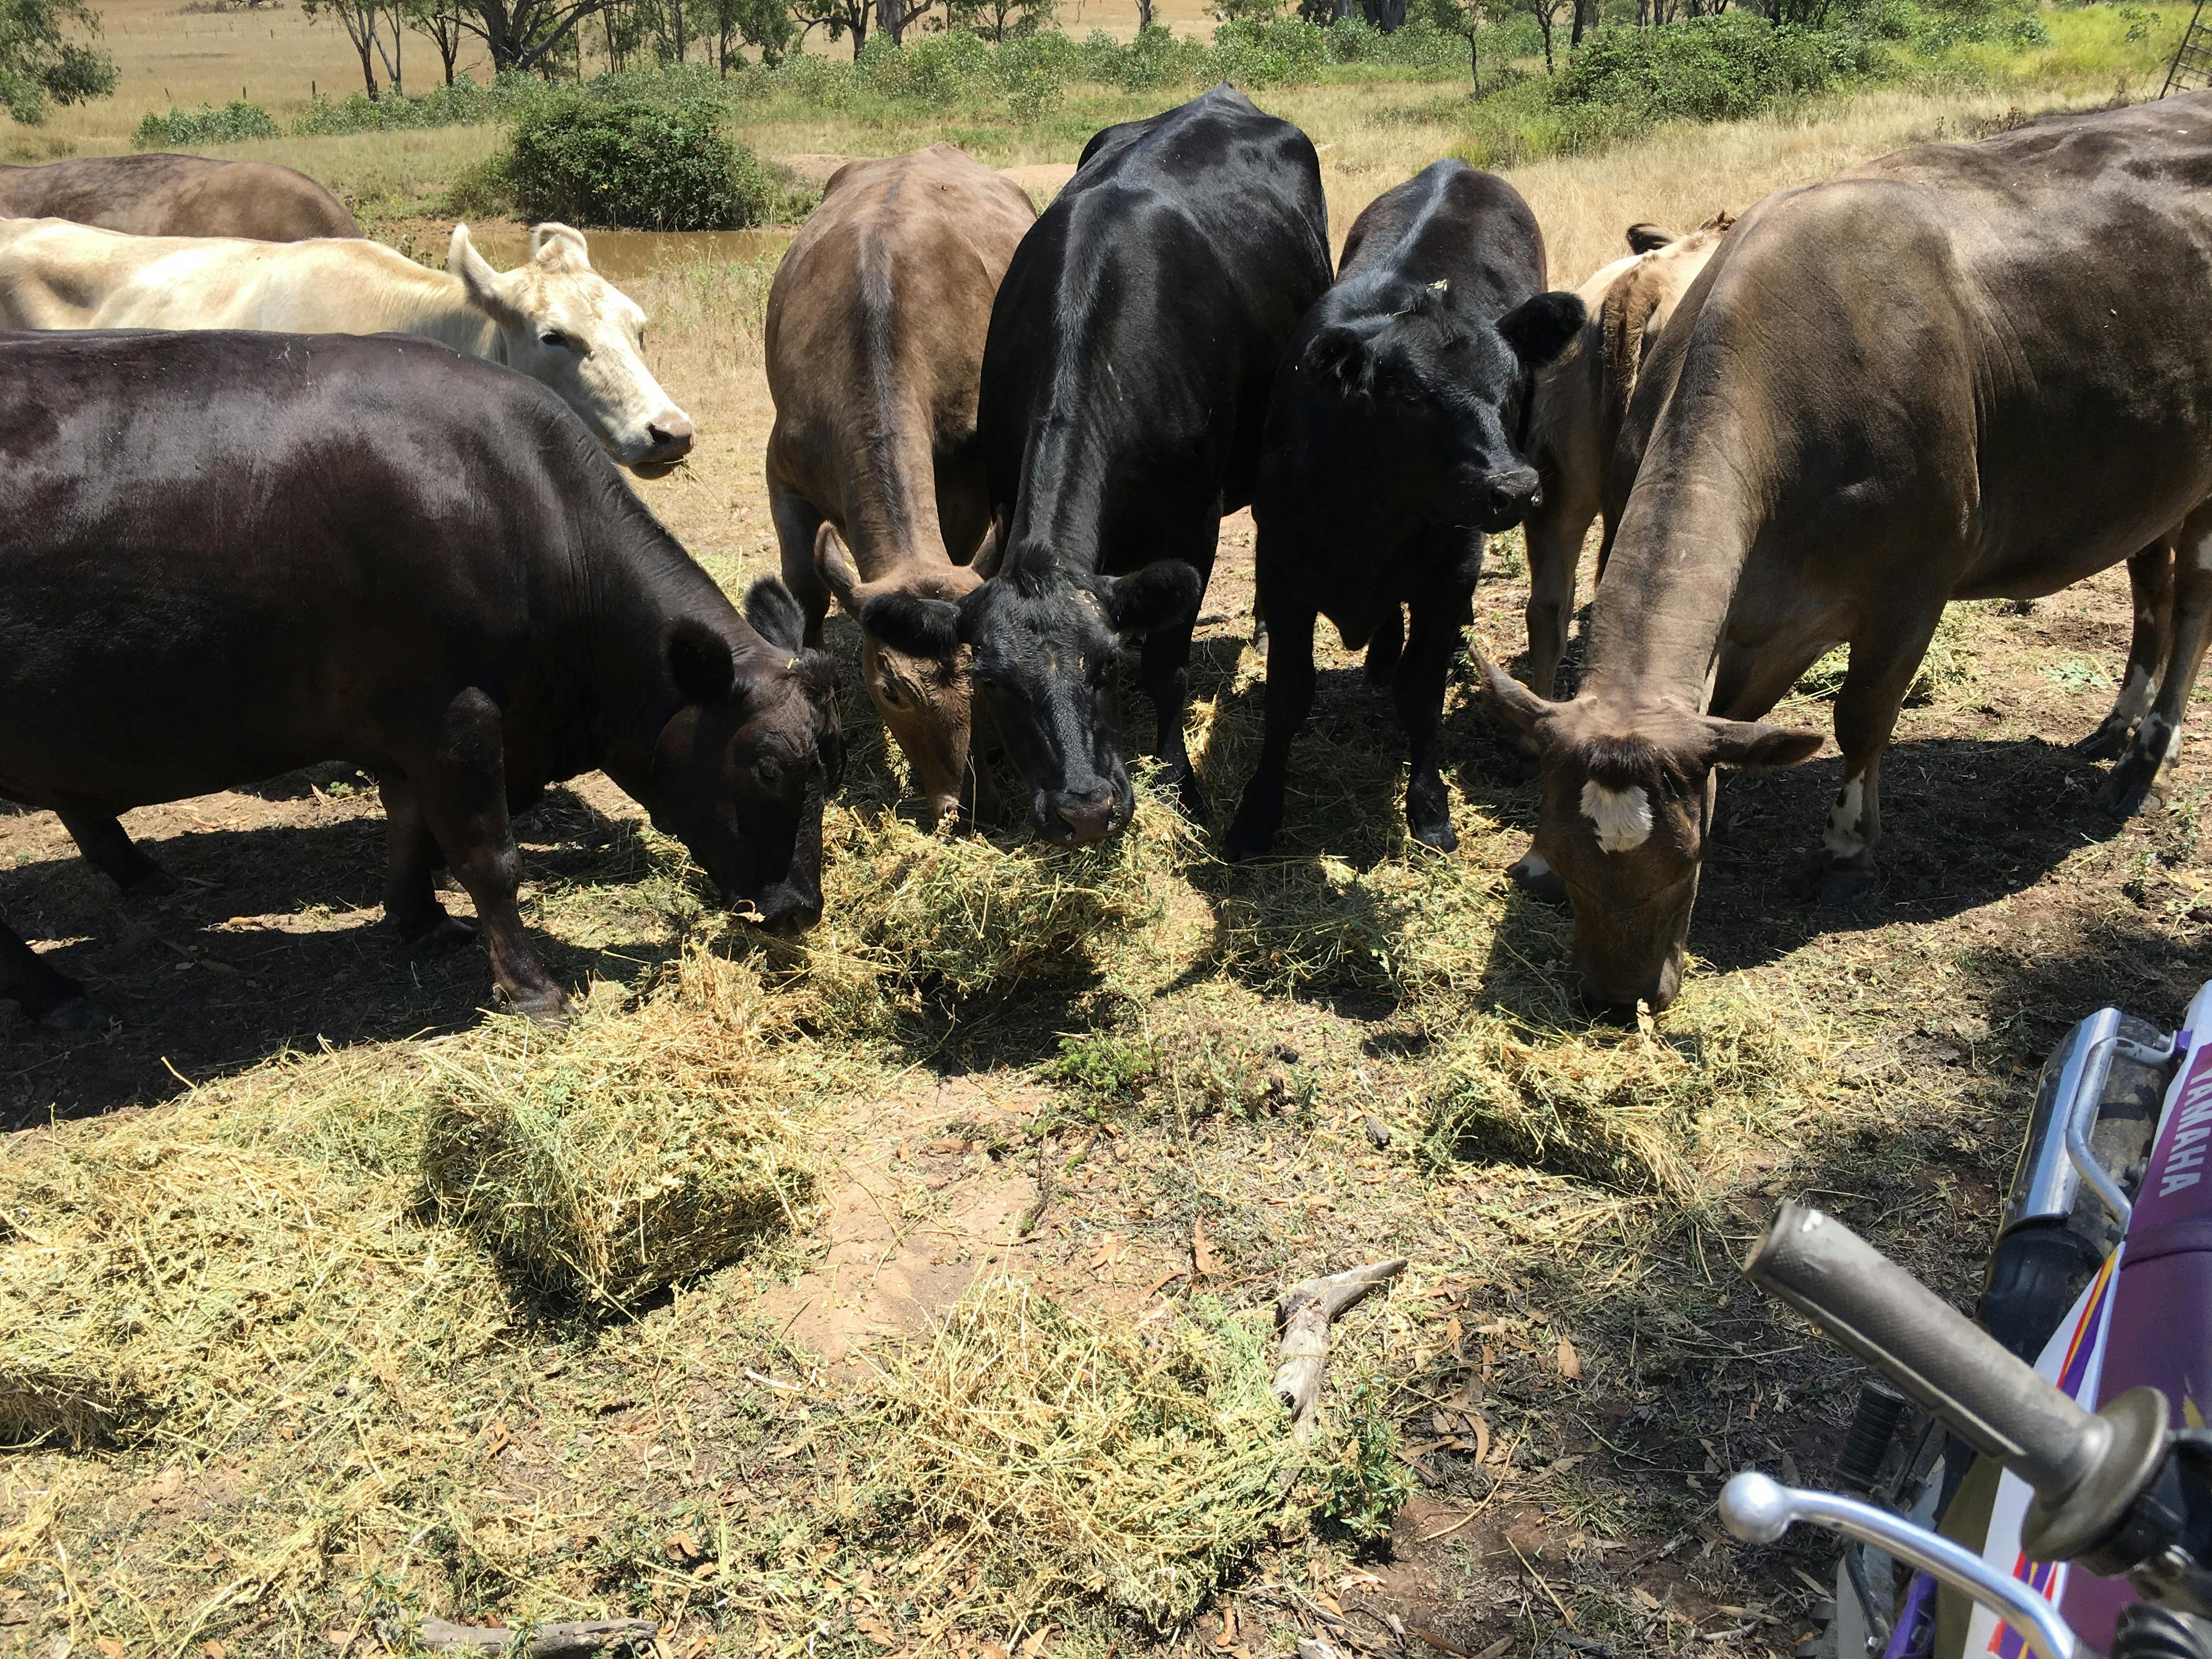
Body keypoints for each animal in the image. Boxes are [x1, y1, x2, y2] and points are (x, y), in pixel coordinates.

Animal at [0, 330, 839, 1028]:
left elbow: (410, 827)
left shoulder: (411, 727)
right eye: (768, 767)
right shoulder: (454, 714)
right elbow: (489, 859)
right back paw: (57, 994)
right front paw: (533, 990)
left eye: (831, 764)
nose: (802, 909)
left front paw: (419, 922)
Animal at [764, 144, 1036, 828]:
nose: (962, 805)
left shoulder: (967, 473)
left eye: (985, 677)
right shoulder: (782, 468)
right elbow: (806, 588)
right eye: (890, 689)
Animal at [859, 86, 1333, 844]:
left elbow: (1168, 671)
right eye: (991, 681)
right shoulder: (1002, 493)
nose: (1083, 811)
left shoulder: (1193, 525)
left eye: (1105, 665)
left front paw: (1181, 784)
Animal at [1223, 161, 1585, 861]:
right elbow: (1288, 695)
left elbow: (1421, 695)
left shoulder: (1447, 575)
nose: (1514, 487)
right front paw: (1257, 811)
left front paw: (1429, 807)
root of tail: (1457, 168)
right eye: (1412, 397)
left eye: (1510, 389)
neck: (1367, 517)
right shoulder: (1281, 569)